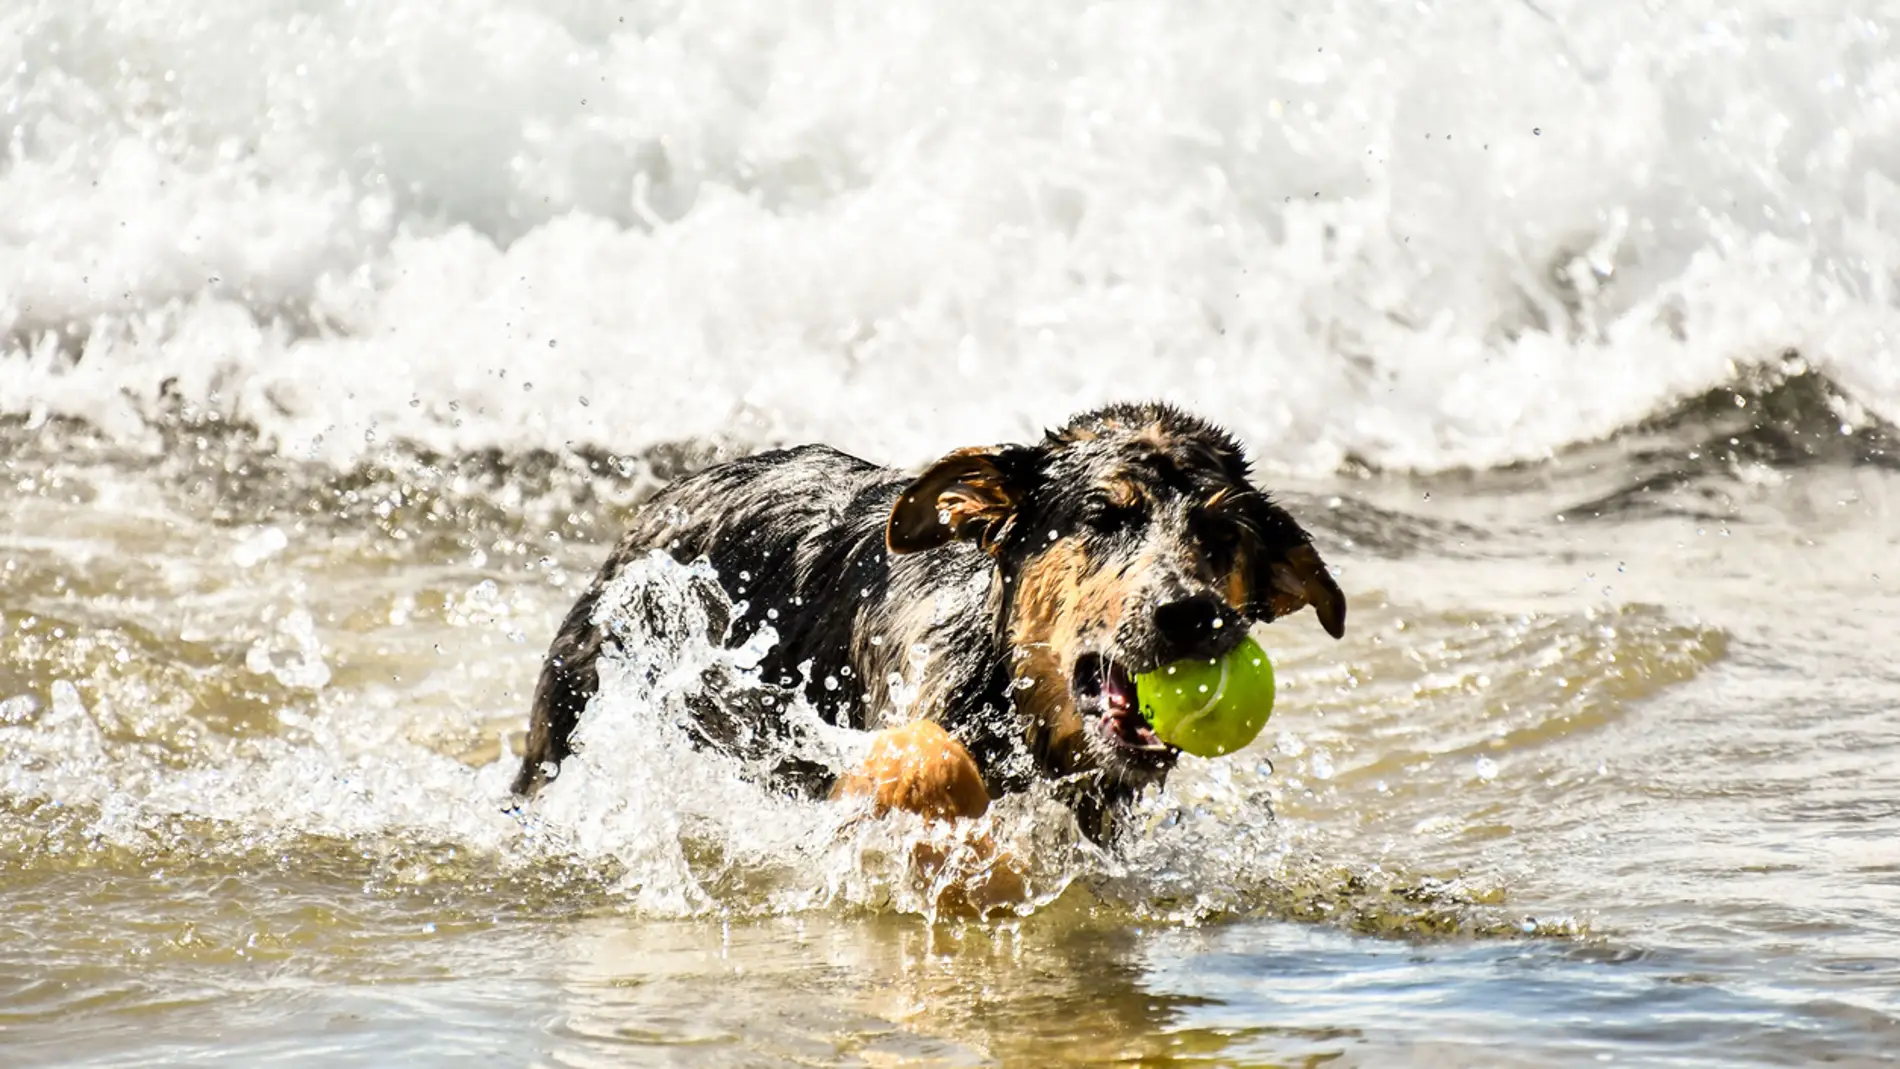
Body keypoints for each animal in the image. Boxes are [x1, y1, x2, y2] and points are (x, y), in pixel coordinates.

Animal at [516, 402, 1352, 846]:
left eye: (1222, 534)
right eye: (1105, 515)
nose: (1194, 614)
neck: (1019, 708)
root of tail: (664, 498)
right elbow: (931, 765)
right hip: (574, 691)